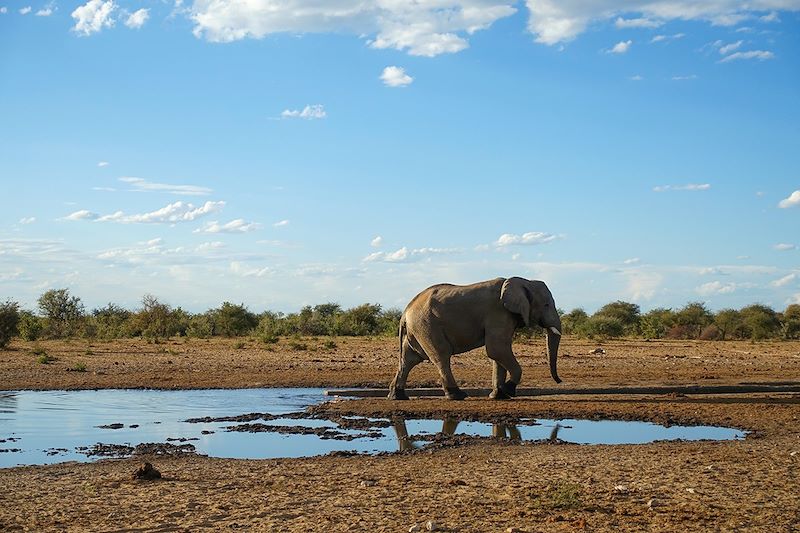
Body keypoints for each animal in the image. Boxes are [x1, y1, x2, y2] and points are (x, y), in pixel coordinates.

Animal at [388, 274, 564, 400]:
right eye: (546, 305)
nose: (559, 381)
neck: (524, 281)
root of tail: (405, 311)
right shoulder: (498, 312)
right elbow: (496, 349)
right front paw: (508, 390)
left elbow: (498, 354)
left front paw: (499, 396)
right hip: (426, 325)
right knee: (441, 356)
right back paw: (457, 395)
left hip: (417, 329)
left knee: (409, 359)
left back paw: (397, 396)